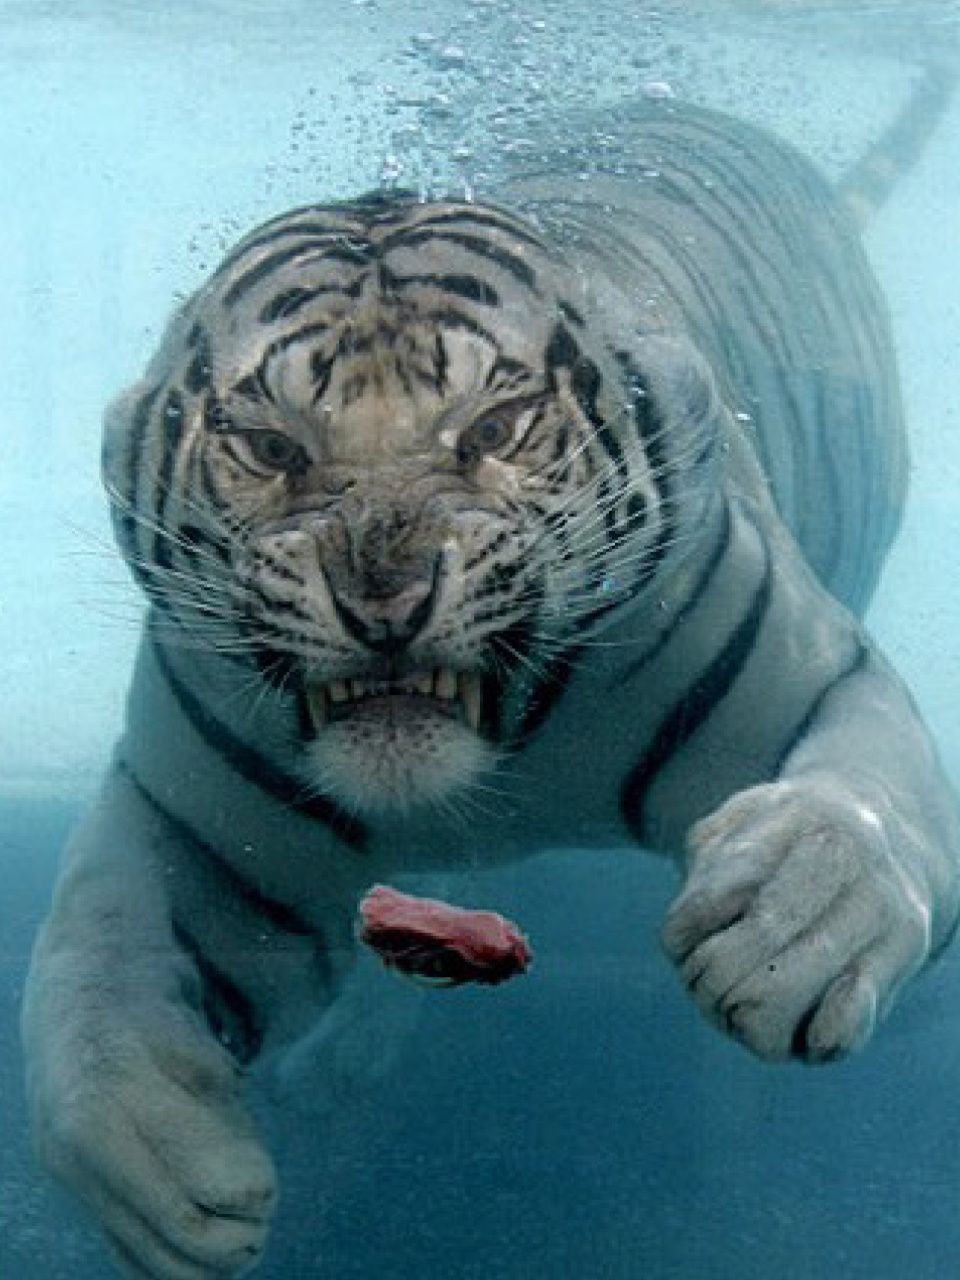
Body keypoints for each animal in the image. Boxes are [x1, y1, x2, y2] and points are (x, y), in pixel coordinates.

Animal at [21, 72, 960, 1280]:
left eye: (496, 427)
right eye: (274, 448)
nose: (385, 598)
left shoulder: (815, 674)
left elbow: (863, 809)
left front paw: (789, 932)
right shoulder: (195, 822)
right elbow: (88, 959)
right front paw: (164, 1163)